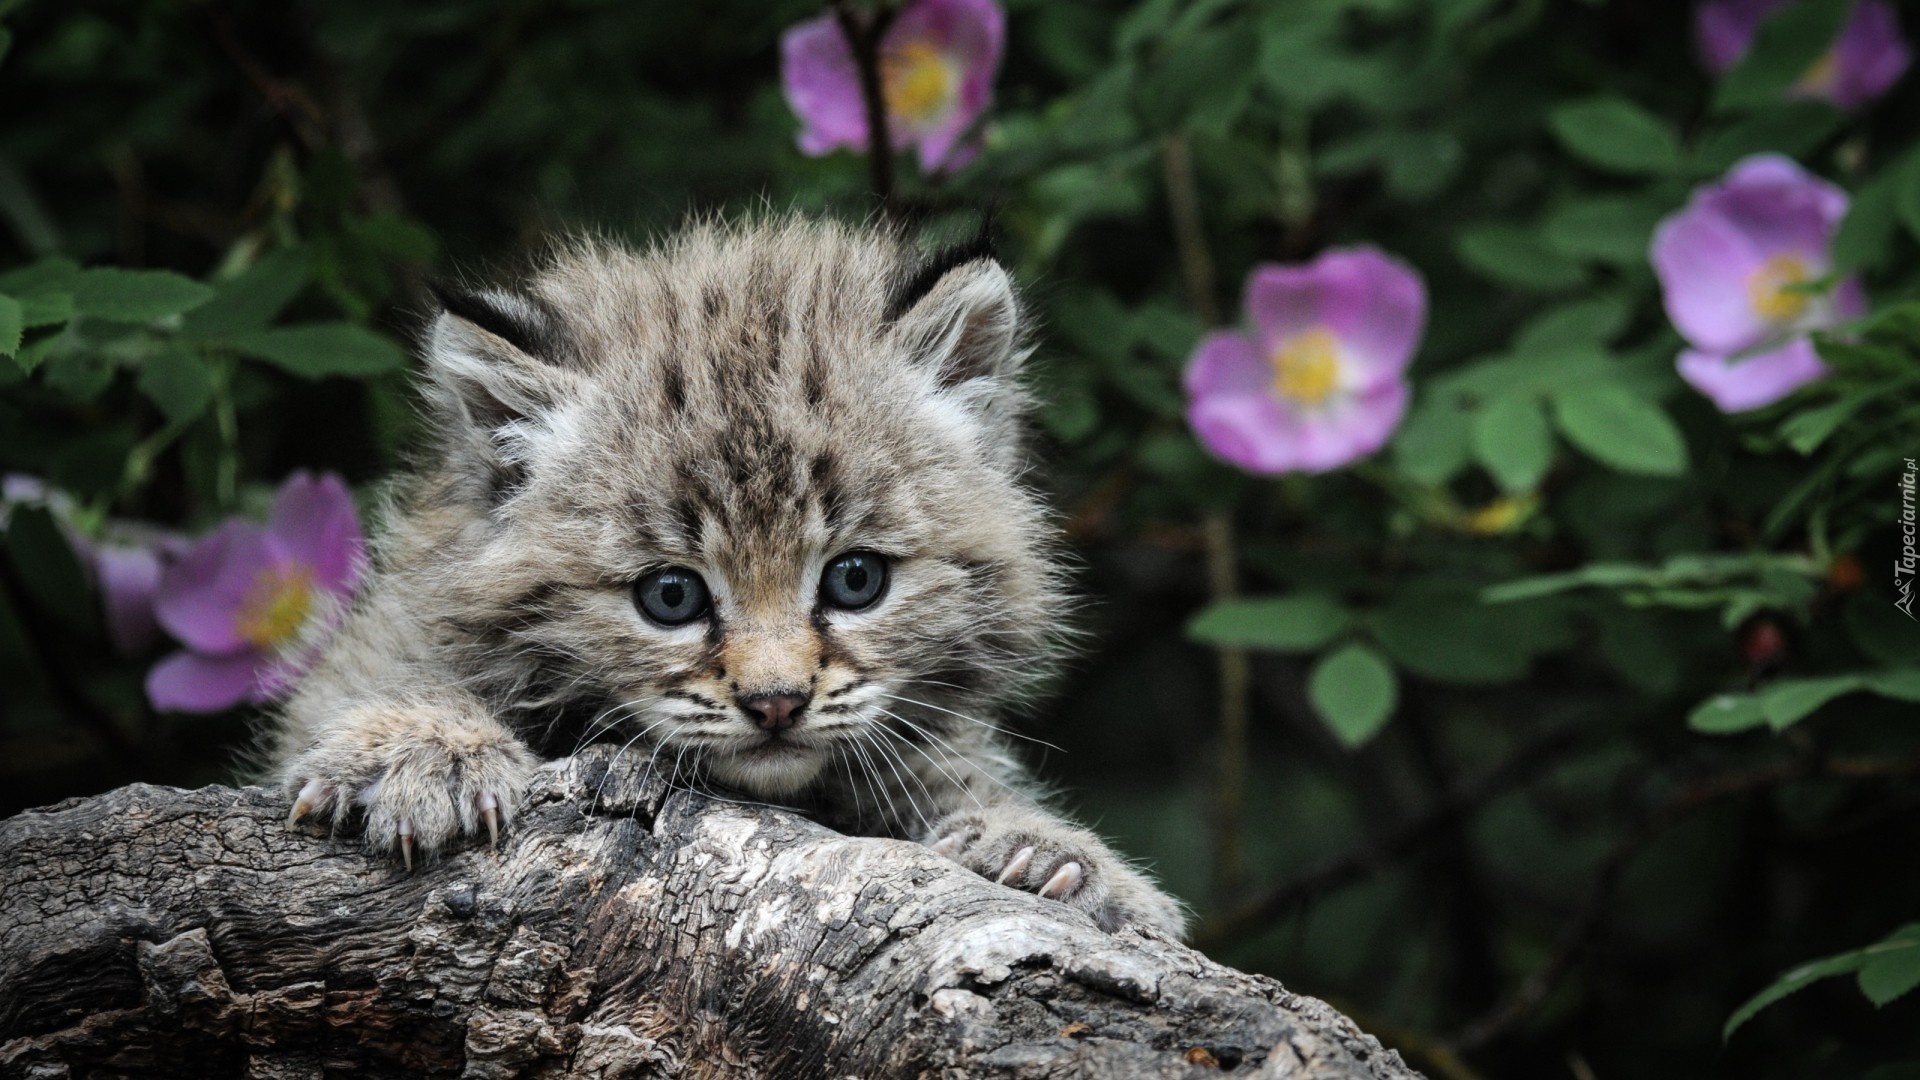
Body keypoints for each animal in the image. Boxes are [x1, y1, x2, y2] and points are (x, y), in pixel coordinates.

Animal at [270, 214, 1182, 930]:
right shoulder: (401, 615)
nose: (775, 703)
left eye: (856, 580)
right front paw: (424, 748)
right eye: (670, 596)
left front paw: (1043, 852)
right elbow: (387, 673)